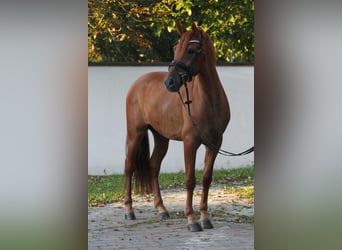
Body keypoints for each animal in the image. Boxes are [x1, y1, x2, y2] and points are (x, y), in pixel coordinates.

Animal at [123, 22, 230, 231]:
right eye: (175, 48)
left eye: (190, 50)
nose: (170, 82)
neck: (208, 101)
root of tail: (137, 84)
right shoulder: (190, 143)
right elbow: (190, 180)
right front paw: (192, 220)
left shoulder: (215, 144)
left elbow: (206, 179)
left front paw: (205, 218)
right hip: (135, 133)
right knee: (129, 166)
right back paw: (129, 210)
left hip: (161, 137)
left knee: (153, 166)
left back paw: (162, 210)